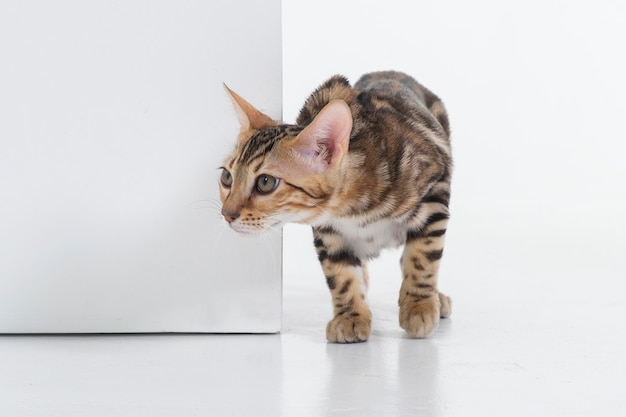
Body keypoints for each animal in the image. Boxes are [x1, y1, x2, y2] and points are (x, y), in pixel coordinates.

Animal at [218, 70, 448, 342]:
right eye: (227, 177)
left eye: (266, 182)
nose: (226, 214)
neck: (353, 211)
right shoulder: (328, 232)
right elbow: (341, 275)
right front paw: (351, 316)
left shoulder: (434, 195)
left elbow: (422, 255)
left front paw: (418, 305)